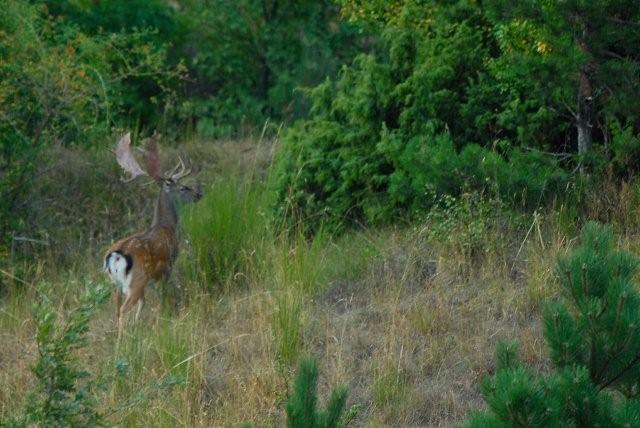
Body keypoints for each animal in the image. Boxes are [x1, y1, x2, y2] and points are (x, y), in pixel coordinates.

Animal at [104, 130, 201, 342]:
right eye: (183, 187)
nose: (198, 194)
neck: (166, 226)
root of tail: (117, 255)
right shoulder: (168, 266)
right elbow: (164, 295)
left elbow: (143, 303)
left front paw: (138, 325)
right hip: (137, 279)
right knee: (123, 310)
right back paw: (122, 342)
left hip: (114, 284)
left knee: (116, 308)